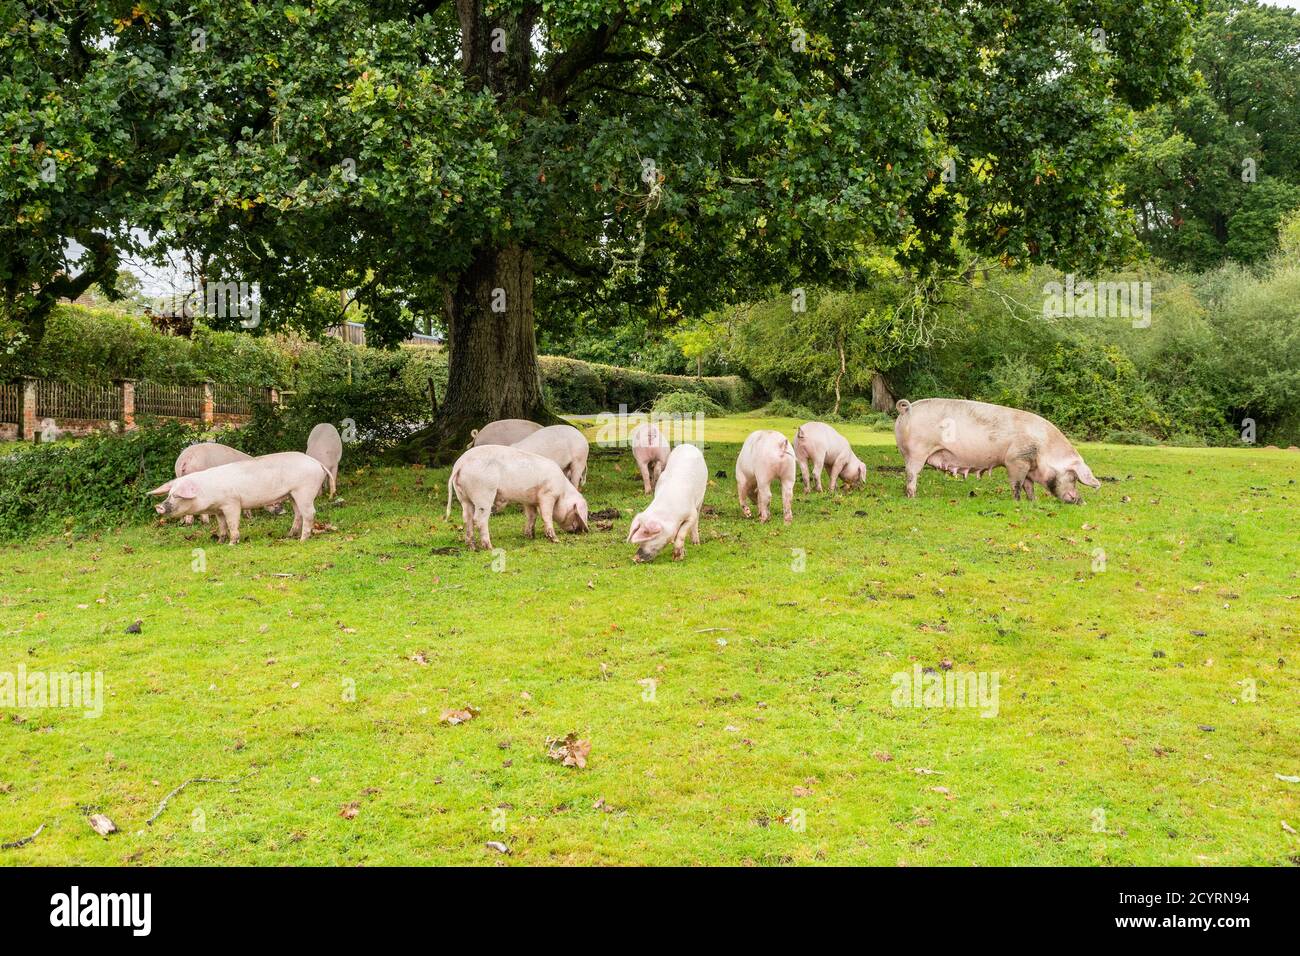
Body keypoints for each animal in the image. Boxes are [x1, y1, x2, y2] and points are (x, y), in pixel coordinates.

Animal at [148, 452, 330, 541]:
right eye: (169, 494)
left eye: (177, 495)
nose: (158, 507)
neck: (207, 491)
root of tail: (318, 463)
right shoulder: (218, 510)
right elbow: (222, 525)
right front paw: (220, 541)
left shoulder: (231, 503)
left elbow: (232, 522)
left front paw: (231, 543)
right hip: (292, 494)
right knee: (298, 513)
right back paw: (289, 536)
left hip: (304, 490)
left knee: (309, 513)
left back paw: (303, 540)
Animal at [447, 444, 590, 548]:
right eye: (576, 512)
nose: (580, 531)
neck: (562, 491)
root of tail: (460, 464)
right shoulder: (547, 495)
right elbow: (546, 515)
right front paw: (555, 539)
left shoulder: (529, 500)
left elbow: (532, 515)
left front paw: (530, 536)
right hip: (484, 493)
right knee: (479, 519)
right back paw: (489, 547)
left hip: (463, 497)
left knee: (467, 518)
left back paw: (471, 546)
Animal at [899, 395, 1102, 504]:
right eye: (1073, 477)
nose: (1081, 502)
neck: (1044, 449)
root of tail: (907, 409)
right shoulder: (1016, 460)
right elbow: (1017, 483)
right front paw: (1017, 502)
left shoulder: (1028, 464)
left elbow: (1029, 485)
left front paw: (1033, 501)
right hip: (917, 451)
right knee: (912, 474)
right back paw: (913, 497)